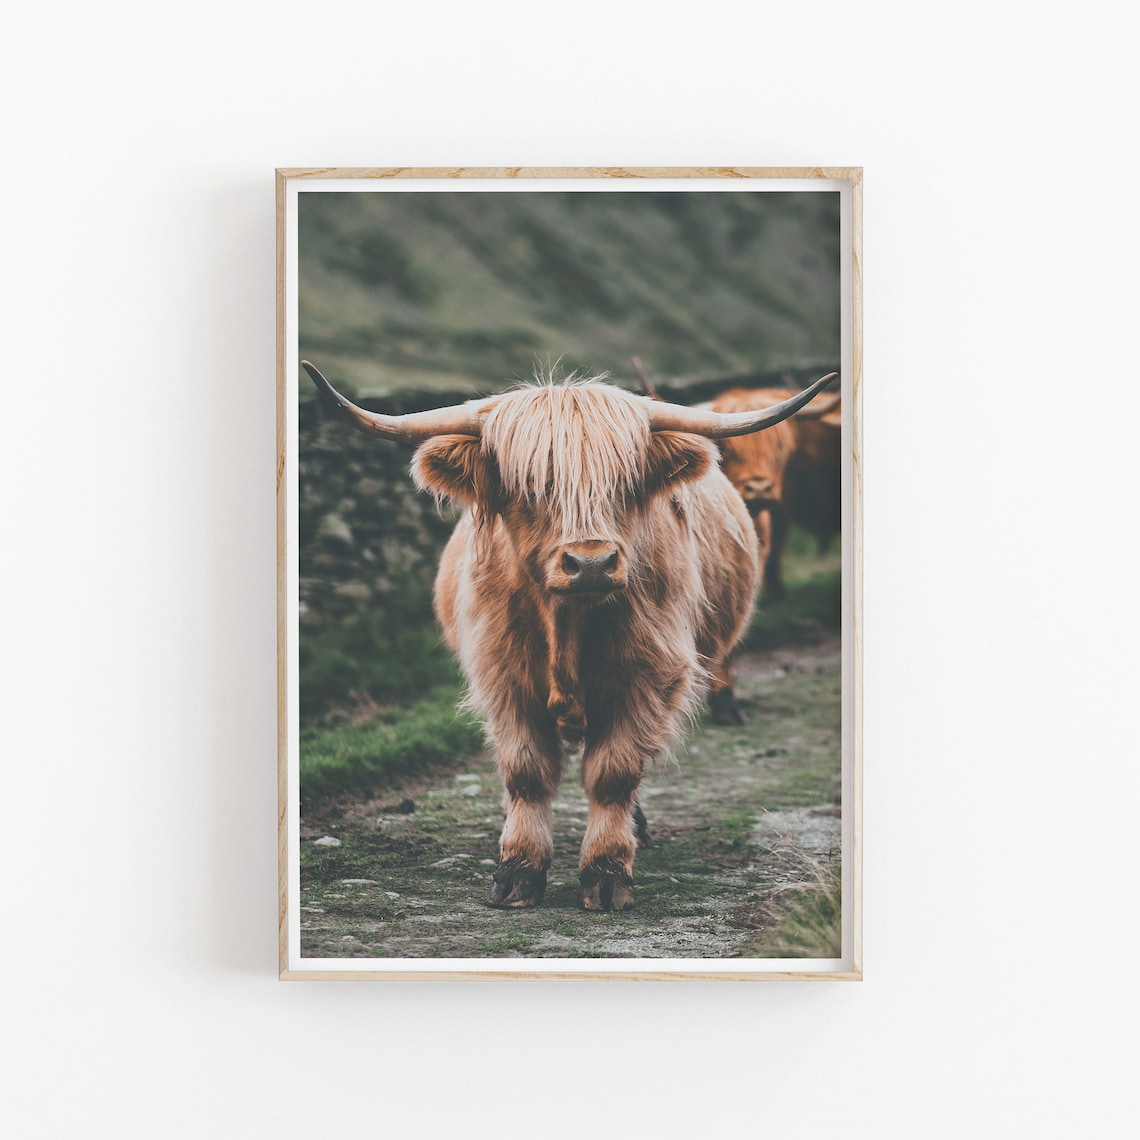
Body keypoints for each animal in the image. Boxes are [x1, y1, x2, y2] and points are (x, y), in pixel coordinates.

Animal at [302, 361, 837, 911]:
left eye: (625, 483)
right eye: (530, 484)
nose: (592, 562)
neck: (567, 625)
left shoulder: (647, 678)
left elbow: (614, 773)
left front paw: (606, 872)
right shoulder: (502, 678)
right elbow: (526, 772)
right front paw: (517, 869)